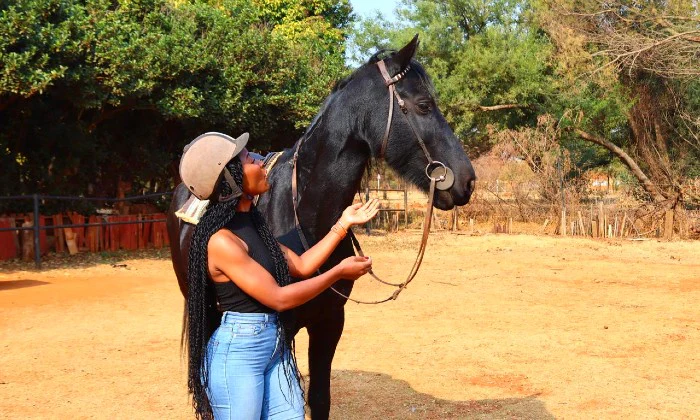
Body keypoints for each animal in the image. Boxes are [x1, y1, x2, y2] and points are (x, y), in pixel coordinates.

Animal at [166, 35, 476, 419]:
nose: (467, 181)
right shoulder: (285, 326)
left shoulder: (329, 322)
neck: (304, 212)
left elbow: (319, 399)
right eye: (423, 104)